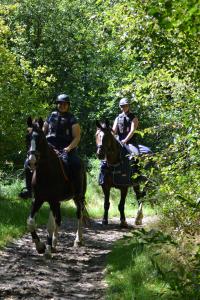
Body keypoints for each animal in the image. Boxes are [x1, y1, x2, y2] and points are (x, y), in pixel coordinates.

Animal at [25, 117, 87, 258]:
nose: (31, 162)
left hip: (77, 197)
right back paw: (54, 243)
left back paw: (78, 240)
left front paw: (47, 250)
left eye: (40, 139)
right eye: (27, 137)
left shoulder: (52, 200)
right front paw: (40, 246)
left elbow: (49, 226)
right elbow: (30, 222)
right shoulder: (37, 199)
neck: (46, 172)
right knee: (58, 219)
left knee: (79, 214)